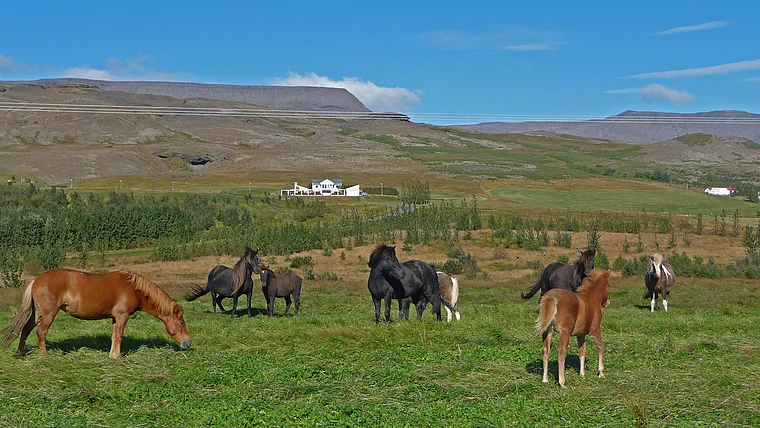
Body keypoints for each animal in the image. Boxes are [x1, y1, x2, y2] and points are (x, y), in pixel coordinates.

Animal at [1, 268, 191, 358]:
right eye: (181, 322)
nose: (188, 343)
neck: (134, 289)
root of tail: (36, 280)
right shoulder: (122, 316)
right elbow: (119, 336)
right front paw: (117, 356)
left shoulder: (115, 318)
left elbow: (114, 336)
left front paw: (112, 355)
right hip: (48, 314)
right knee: (41, 332)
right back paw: (44, 356)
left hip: (38, 313)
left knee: (25, 330)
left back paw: (19, 354)